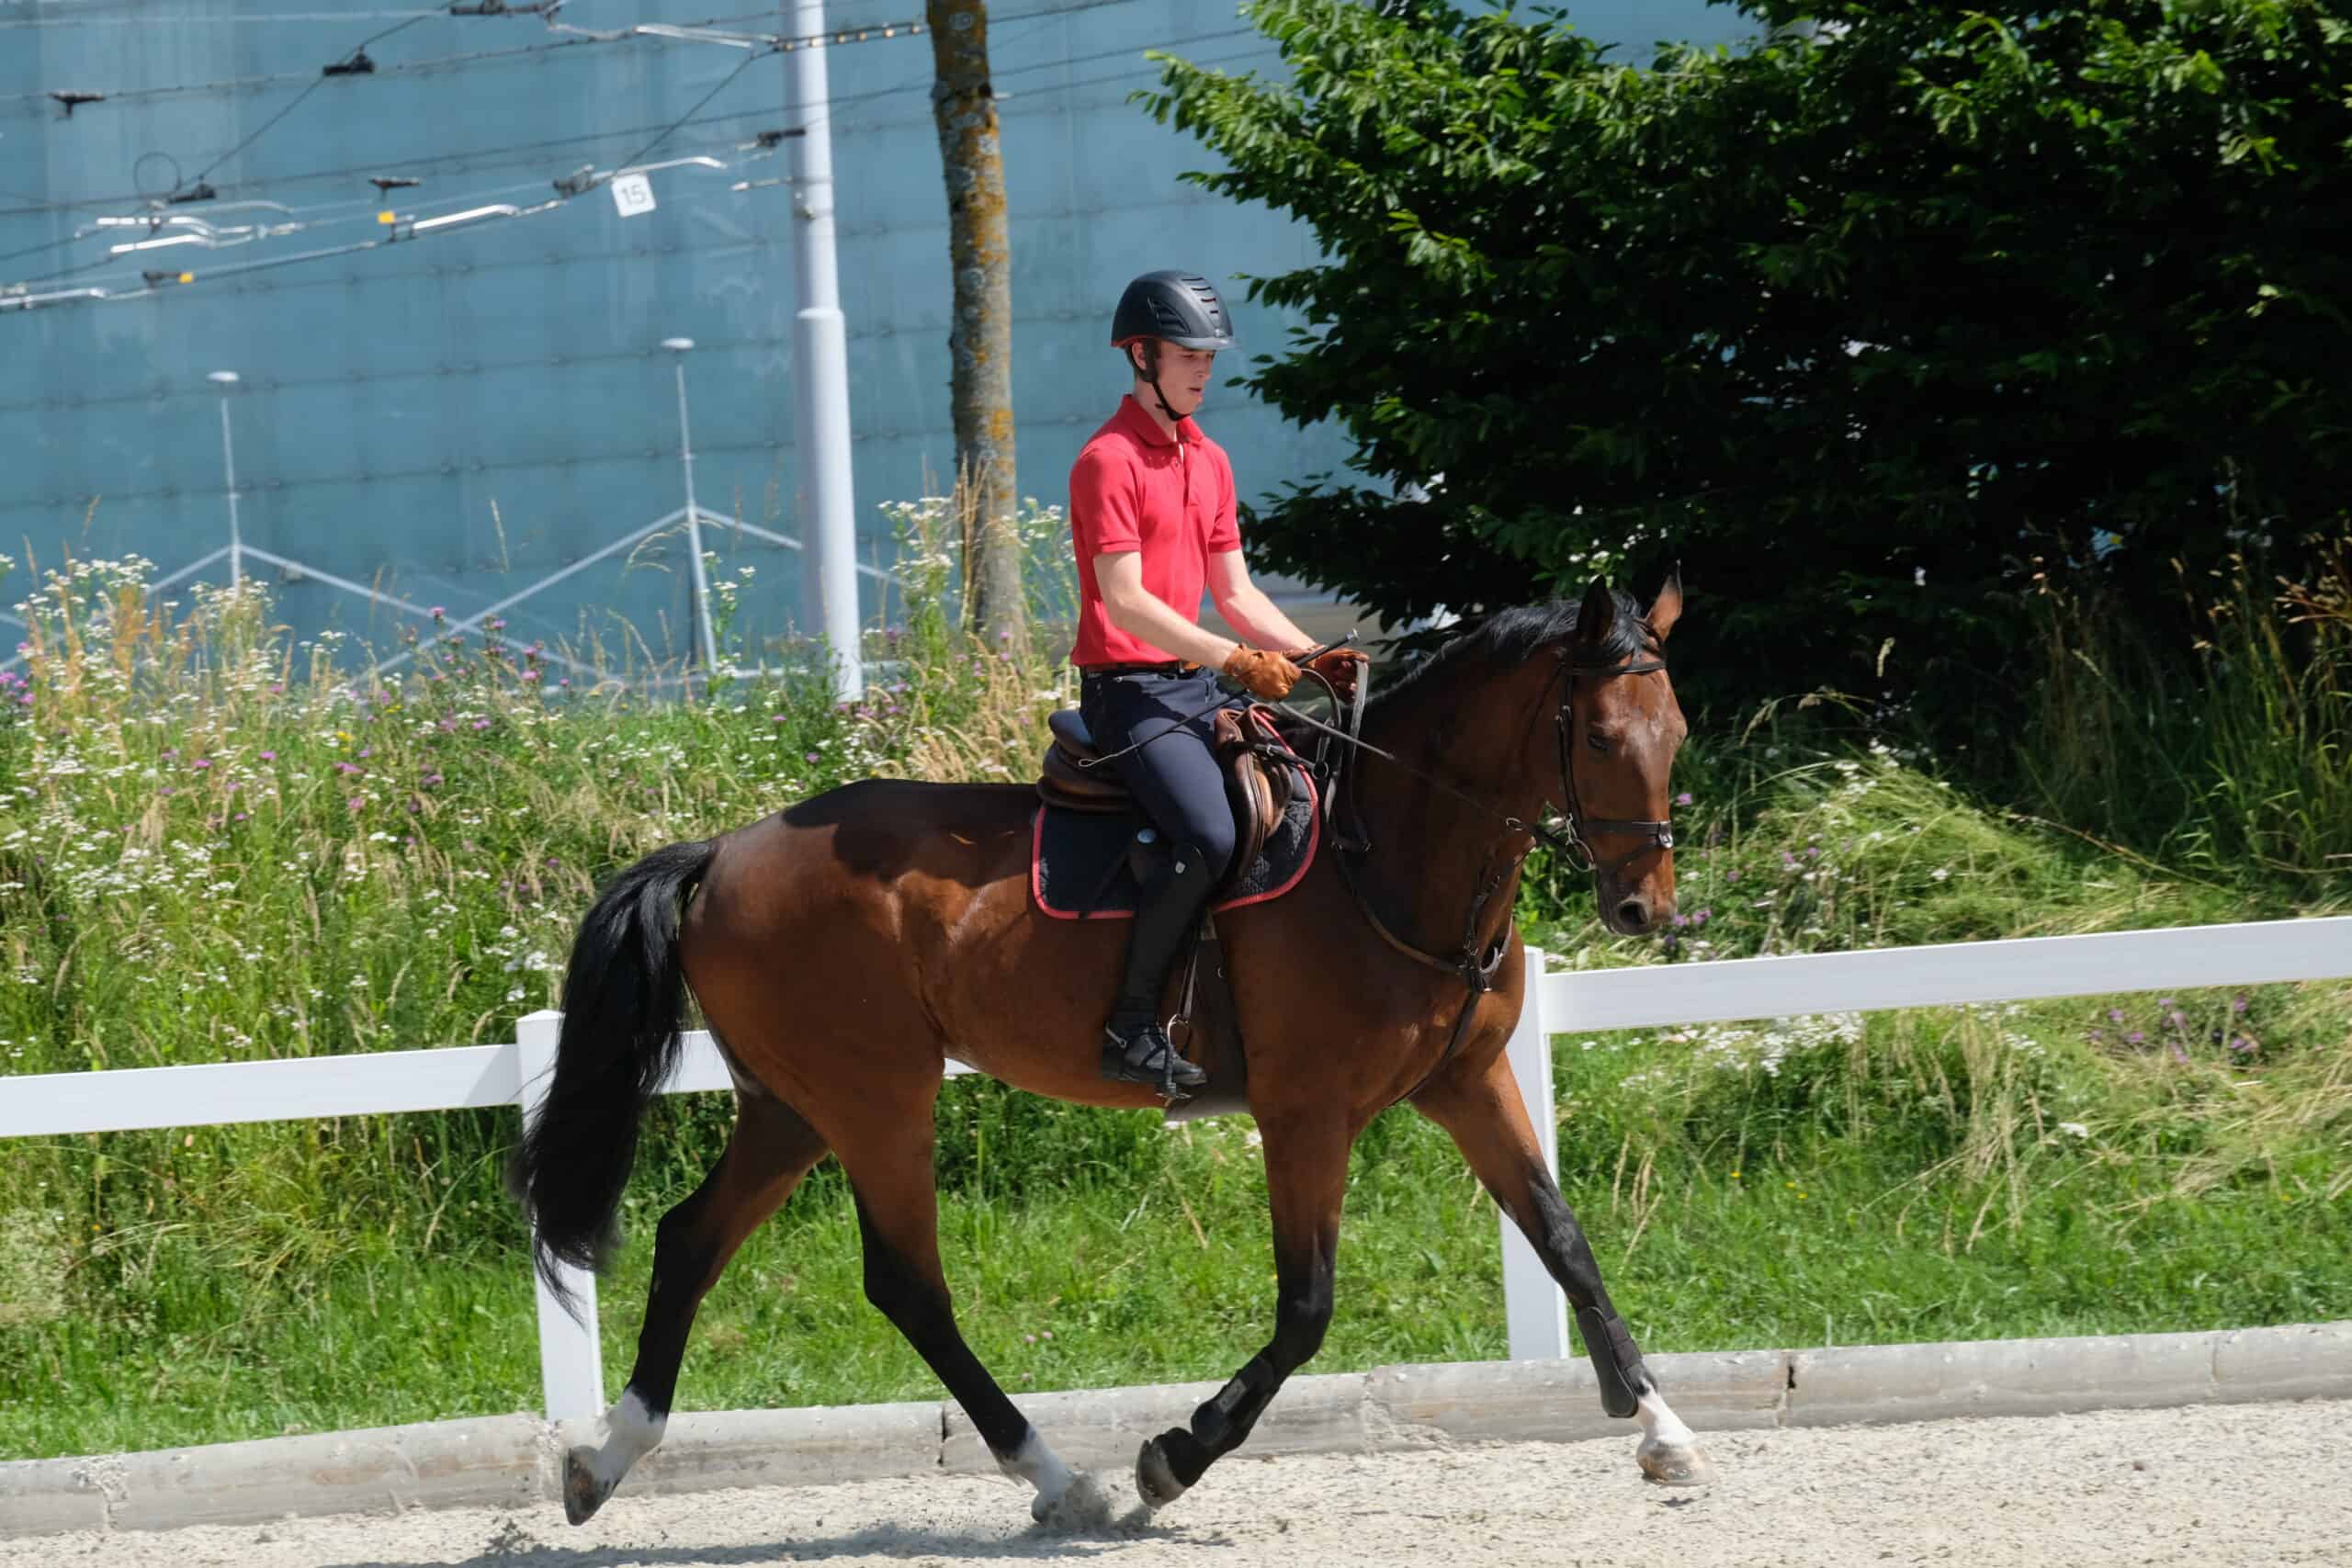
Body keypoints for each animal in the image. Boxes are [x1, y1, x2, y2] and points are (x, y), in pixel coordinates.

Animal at [510, 570, 1712, 1523]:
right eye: (1598, 737)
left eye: (1678, 734)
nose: (1642, 909)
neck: (1388, 853)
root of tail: (723, 851)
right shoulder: (1306, 1114)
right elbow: (1307, 1308)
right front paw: (1173, 1457)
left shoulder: (1469, 1082)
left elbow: (1563, 1240)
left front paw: (1662, 1429)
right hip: (876, 1099)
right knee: (907, 1284)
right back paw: (1058, 1479)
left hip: (794, 1107)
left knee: (690, 1241)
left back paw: (605, 1462)